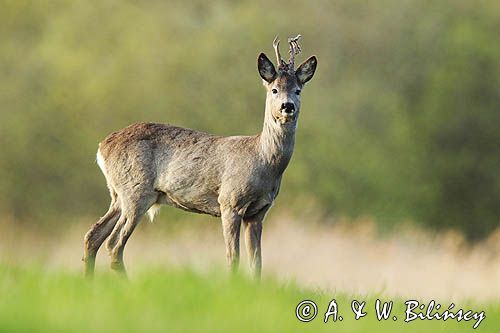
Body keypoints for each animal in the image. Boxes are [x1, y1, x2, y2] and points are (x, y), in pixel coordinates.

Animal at [82, 34, 316, 278]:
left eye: (298, 90)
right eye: (274, 90)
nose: (287, 106)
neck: (263, 161)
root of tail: (102, 147)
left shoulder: (258, 212)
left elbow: (257, 263)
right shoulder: (229, 201)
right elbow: (233, 257)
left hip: (118, 194)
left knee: (93, 235)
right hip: (136, 192)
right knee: (114, 244)